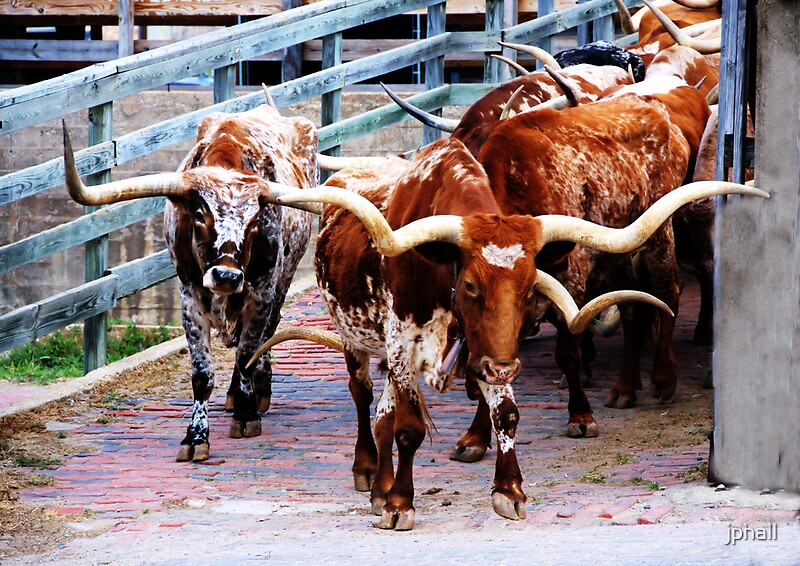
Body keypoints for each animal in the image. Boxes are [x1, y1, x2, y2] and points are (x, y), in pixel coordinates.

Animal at [62, 103, 320, 462]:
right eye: (200, 214)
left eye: (255, 221)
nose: (227, 276)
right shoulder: (190, 296)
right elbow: (202, 373)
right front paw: (196, 437)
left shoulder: (262, 294)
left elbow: (246, 354)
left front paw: (246, 414)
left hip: (284, 281)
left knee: (267, 335)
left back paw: (258, 392)